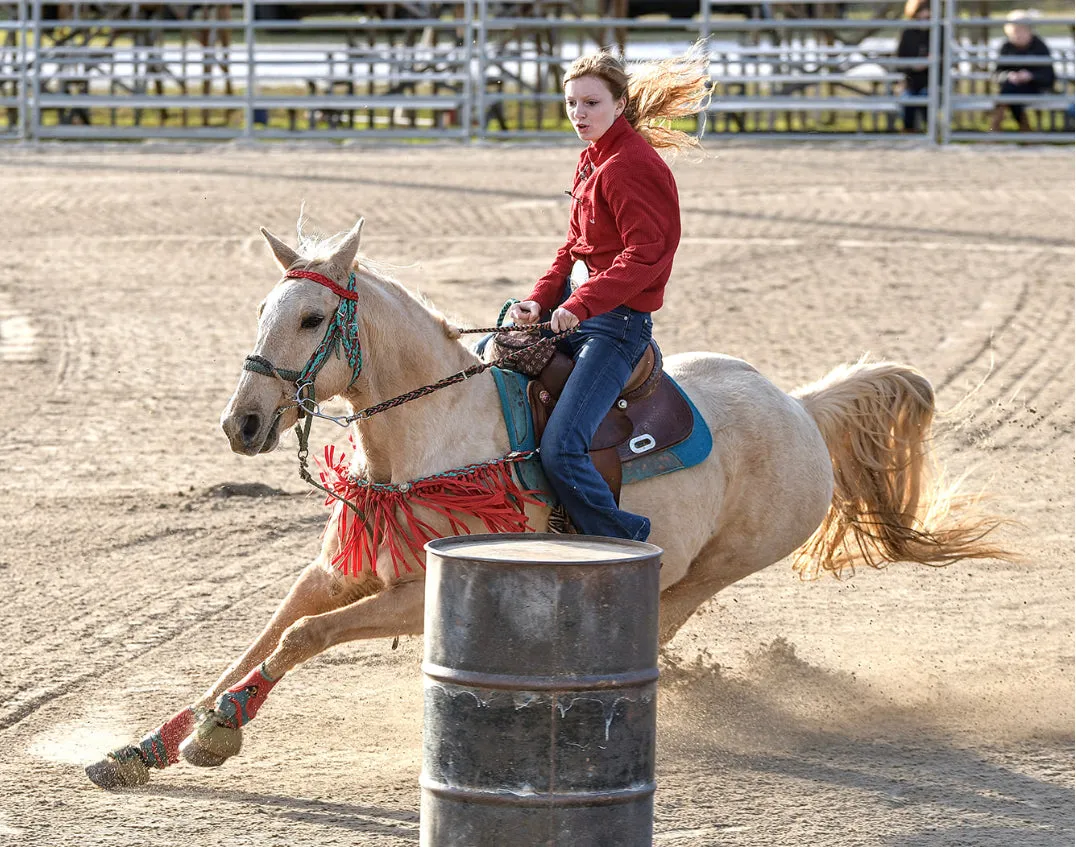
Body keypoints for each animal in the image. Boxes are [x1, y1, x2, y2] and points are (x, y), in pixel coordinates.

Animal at [83, 218, 998, 787]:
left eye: (311, 318)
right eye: (263, 309)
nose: (241, 422)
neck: (438, 430)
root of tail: (802, 405)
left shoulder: (416, 588)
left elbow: (302, 637)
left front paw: (221, 728)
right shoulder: (342, 568)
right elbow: (266, 631)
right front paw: (148, 744)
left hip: (716, 566)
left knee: (666, 619)